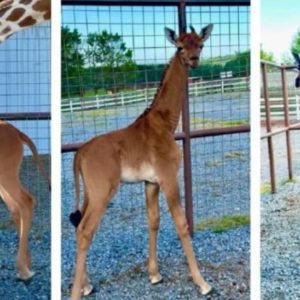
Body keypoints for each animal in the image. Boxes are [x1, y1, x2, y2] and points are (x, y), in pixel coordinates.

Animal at [0, 119, 50, 282]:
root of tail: (14, 130)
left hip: (6, 174)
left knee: (26, 201)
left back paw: (23, 269)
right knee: (15, 207)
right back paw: (27, 265)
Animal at [69, 24, 214, 300]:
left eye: (200, 44)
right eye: (180, 46)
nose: (194, 60)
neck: (166, 123)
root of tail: (80, 153)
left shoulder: (150, 182)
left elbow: (153, 220)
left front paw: (155, 274)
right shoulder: (168, 177)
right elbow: (181, 224)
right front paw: (202, 283)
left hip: (90, 192)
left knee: (77, 224)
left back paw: (85, 284)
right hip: (103, 191)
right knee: (85, 230)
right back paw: (77, 291)